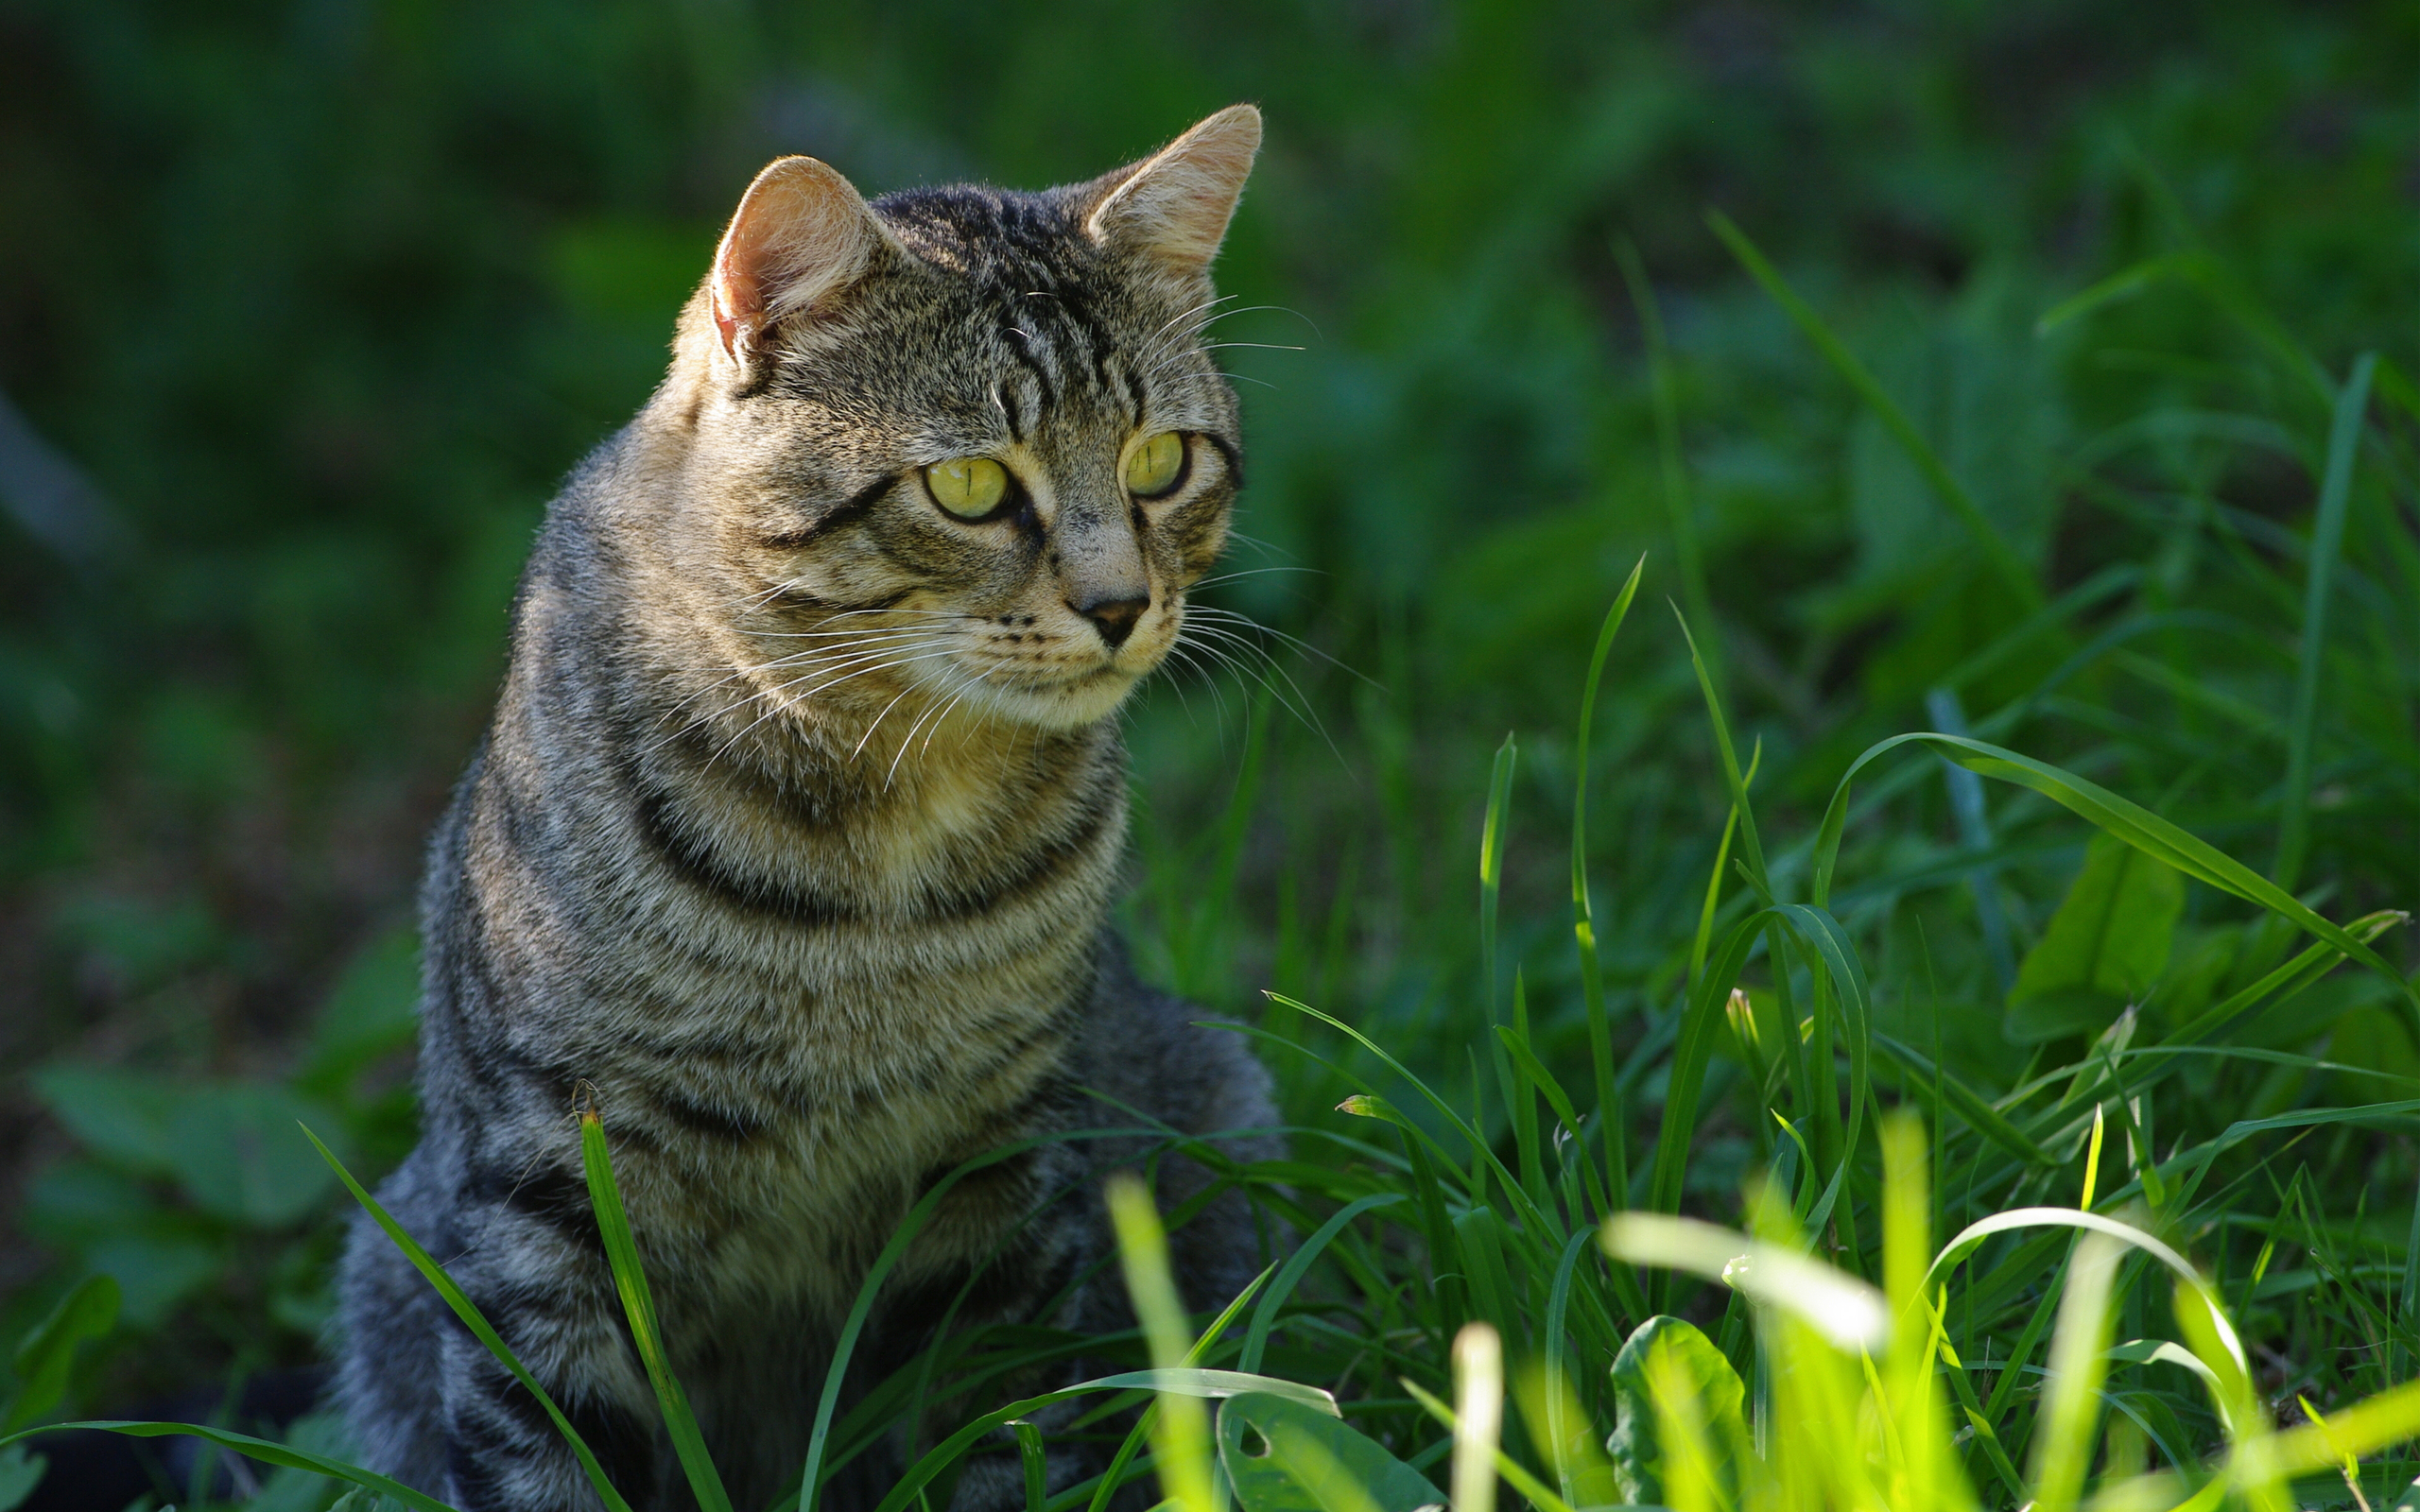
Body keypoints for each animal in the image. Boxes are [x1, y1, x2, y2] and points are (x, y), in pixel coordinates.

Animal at [340, 106, 1287, 1509]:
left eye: (1163, 462)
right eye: (969, 488)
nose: (1122, 605)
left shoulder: (999, 1168)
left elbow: (993, 1430)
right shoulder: (546, 1190)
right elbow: (544, 1452)